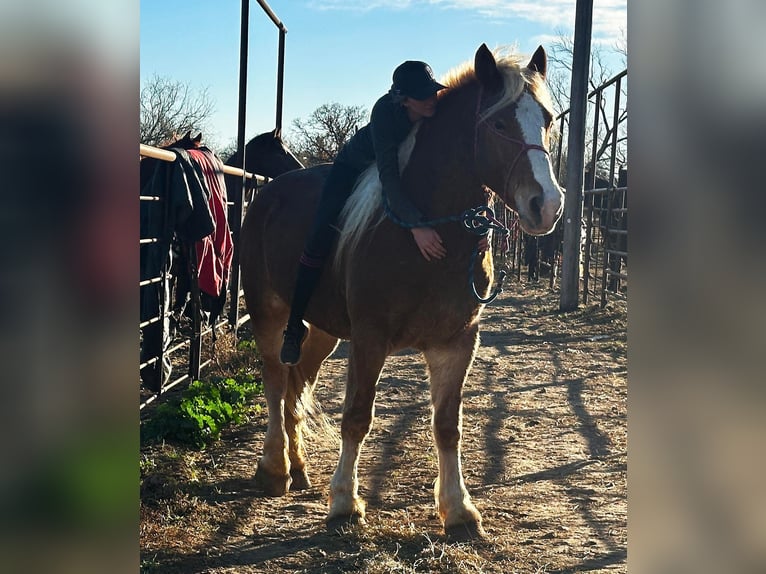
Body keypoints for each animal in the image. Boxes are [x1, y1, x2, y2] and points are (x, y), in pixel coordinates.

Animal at [243, 44, 568, 540]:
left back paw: (298, 467)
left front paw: (458, 509)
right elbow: (357, 416)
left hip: (323, 332)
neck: (426, 229)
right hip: (269, 314)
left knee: (299, 384)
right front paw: (345, 503)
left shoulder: (457, 342)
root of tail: (266, 194)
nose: (546, 205)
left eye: (547, 119)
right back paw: (275, 469)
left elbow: (447, 425)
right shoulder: (370, 338)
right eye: (497, 124)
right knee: (276, 384)